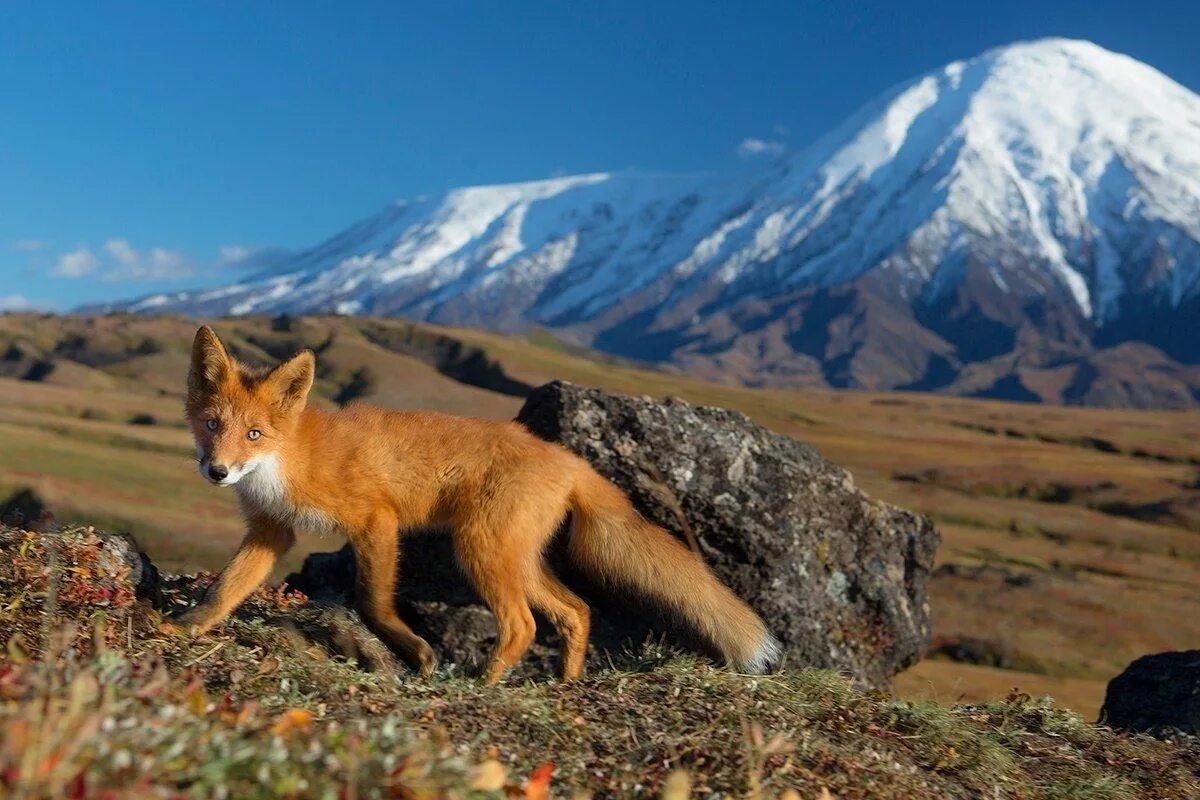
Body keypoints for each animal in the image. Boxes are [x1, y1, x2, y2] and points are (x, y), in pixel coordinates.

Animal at [169, 326, 782, 681]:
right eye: (212, 425)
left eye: (254, 434)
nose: (217, 471)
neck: (290, 459)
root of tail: (568, 459)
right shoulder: (272, 531)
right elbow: (227, 589)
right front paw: (185, 630)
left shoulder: (376, 520)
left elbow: (372, 603)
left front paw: (417, 654)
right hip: (515, 559)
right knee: (575, 612)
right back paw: (566, 685)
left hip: (479, 550)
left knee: (524, 627)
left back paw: (482, 686)